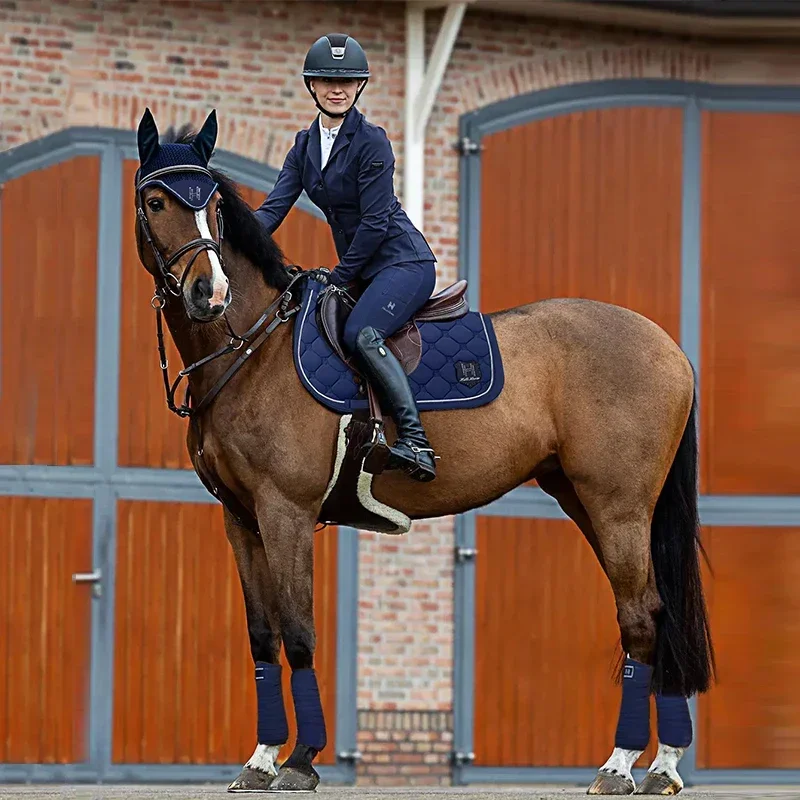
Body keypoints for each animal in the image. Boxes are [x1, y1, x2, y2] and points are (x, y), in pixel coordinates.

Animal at [132, 109, 713, 796]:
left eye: (215, 205)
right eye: (157, 201)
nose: (209, 293)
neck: (252, 346)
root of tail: (668, 346)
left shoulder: (286, 513)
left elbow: (298, 631)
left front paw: (300, 760)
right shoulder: (241, 520)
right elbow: (262, 637)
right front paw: (262, 757)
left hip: (618, 507)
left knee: (641, 618)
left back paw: (621, 765)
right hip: (589, 502)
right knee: (656, 613)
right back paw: (664, 765)